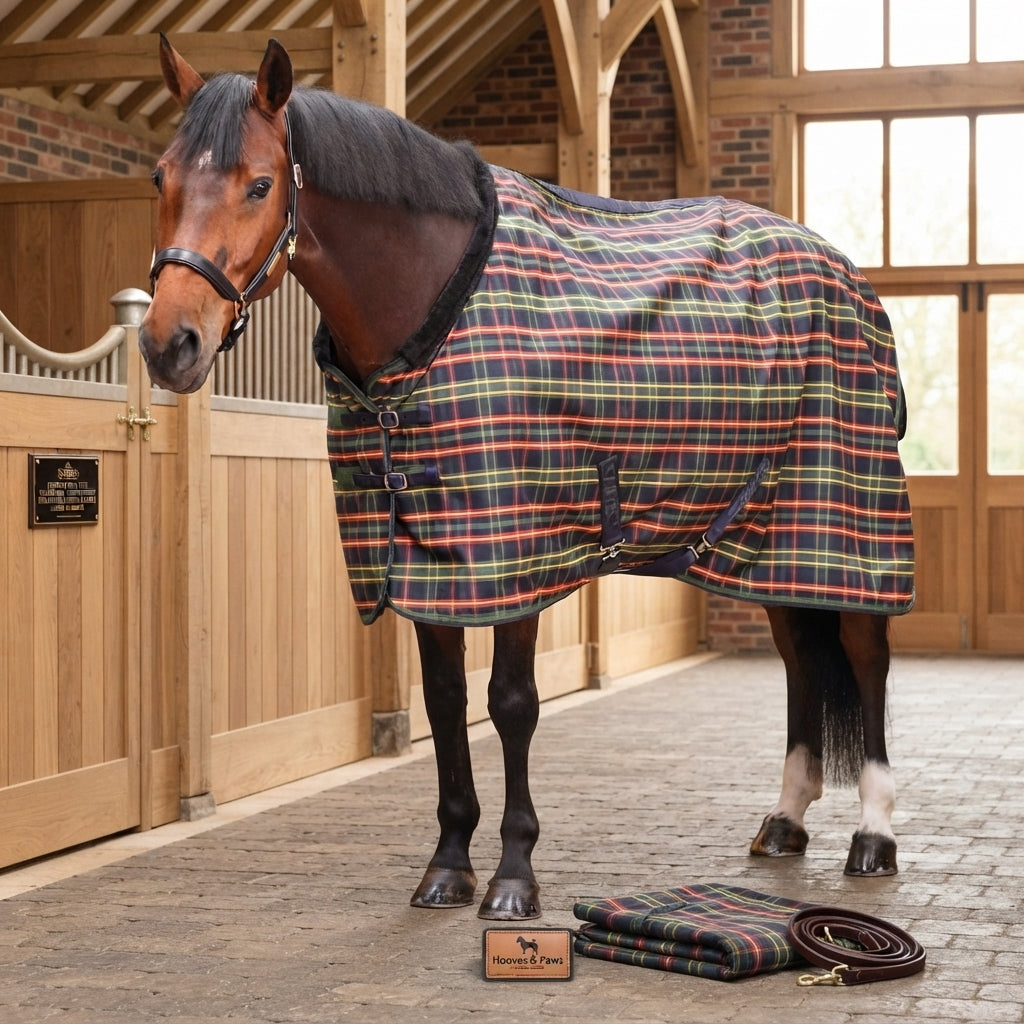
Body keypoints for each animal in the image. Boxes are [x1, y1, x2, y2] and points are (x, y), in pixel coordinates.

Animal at [139, 37, 916, 922]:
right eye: (160, 176)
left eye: (260, 184)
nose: (169, 343)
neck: (433, 303)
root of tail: (845, 272)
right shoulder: (428, 555)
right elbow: (445, 703)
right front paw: (447, 866)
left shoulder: (516, 551)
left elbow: (510, 704)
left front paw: (513, 877)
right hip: (769, 536)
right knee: (798, 658)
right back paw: (785, 821)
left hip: (850, 512)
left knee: (865, 657)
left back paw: (874, 836)